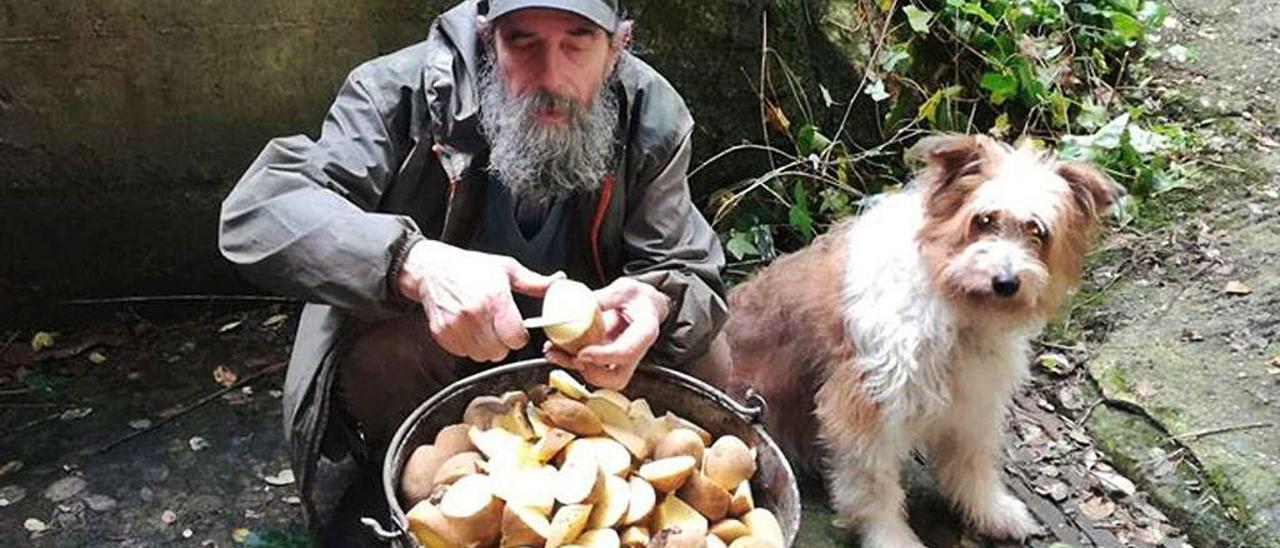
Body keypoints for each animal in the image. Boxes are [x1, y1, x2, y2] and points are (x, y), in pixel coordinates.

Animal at [727, 133, 1126, 548]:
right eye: (984, 220)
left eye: (1037, 232)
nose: (1006, 282)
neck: (951, 299)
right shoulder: (865, 409)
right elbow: (874, 488)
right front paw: (891, 537)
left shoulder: (972, 402)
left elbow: (972, 462)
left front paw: (991, 510)